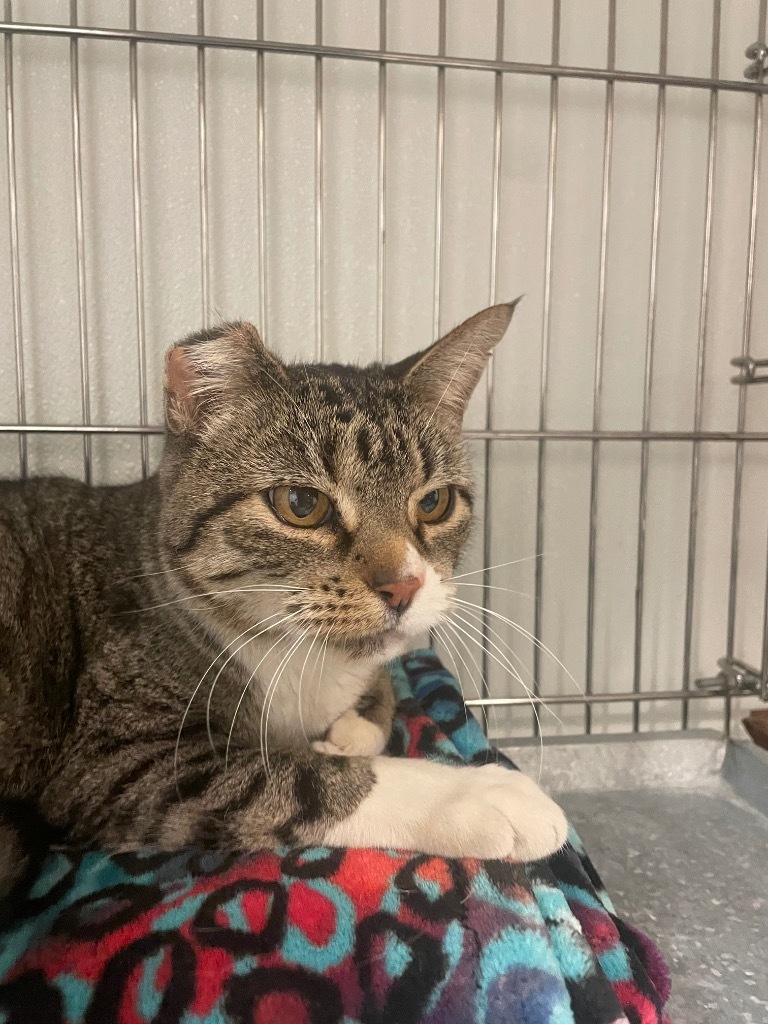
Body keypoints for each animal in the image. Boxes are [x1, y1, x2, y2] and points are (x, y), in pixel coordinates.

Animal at [0, 301, 565, 897]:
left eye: (434, 503)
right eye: (300, 504)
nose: (405, 585)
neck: (300, 658)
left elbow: (379, 696)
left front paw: (350, 730)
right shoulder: (116, 759)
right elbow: (295, 778)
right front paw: (478, 794)